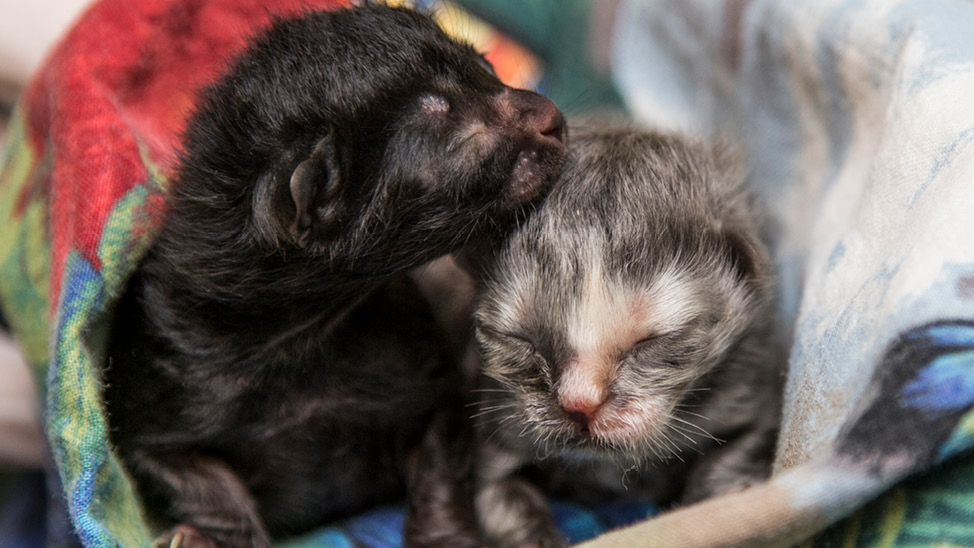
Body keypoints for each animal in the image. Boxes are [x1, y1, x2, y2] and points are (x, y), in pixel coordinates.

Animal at [101, 5, 564, 548]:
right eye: (443, 122)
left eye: (486, 69)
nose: (552, 117)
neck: (305, 336)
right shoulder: (158, 416)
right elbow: (203, 485)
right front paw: (209, 536)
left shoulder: (432, 384)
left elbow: (441, 468)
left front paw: (444, 535)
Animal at [472, 123, 784, 548]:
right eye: (521, 340)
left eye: (650, 341)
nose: (579, 405)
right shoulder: (498, 430)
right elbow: (496, 493)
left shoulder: (751, 389)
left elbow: (739, 453)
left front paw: (710, 501)